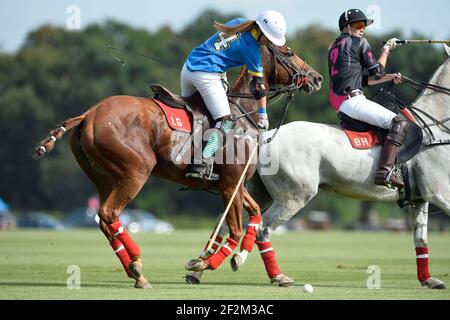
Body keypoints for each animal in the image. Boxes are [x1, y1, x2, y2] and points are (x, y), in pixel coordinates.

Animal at [36, 43, 324, 288]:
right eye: (288, 51)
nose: (317, 77)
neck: (243, 114)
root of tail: (89, 114)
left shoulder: (234, 185)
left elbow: (253, 213)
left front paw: (239, 259)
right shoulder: (230, 184)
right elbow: (233, 230)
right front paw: (203, 263)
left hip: (105, 178)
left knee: (103, 220)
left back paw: (135, 271)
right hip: (136, 172)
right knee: (109, 213)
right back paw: (138, 266)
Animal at [188, 44, 450, 288]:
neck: (437, 127)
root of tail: (266, 137)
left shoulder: (421, 198)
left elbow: (421, 240)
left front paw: (429, 280)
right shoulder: (439, 192)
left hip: (258, 192)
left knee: (227, 223)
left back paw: (201, 267)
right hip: (295, 195)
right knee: (263, 228)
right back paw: (274, 275)